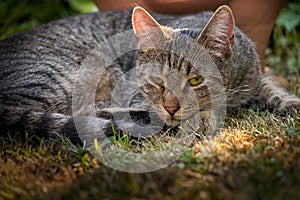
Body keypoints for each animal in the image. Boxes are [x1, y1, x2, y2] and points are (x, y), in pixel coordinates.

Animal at [0, 5, 298, 145]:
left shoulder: (254, 76)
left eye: (195, 81)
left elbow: (271, 87)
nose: (171, 107)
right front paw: (203, 117)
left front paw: (290, 102)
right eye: (157, 82)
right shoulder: (135, 95)